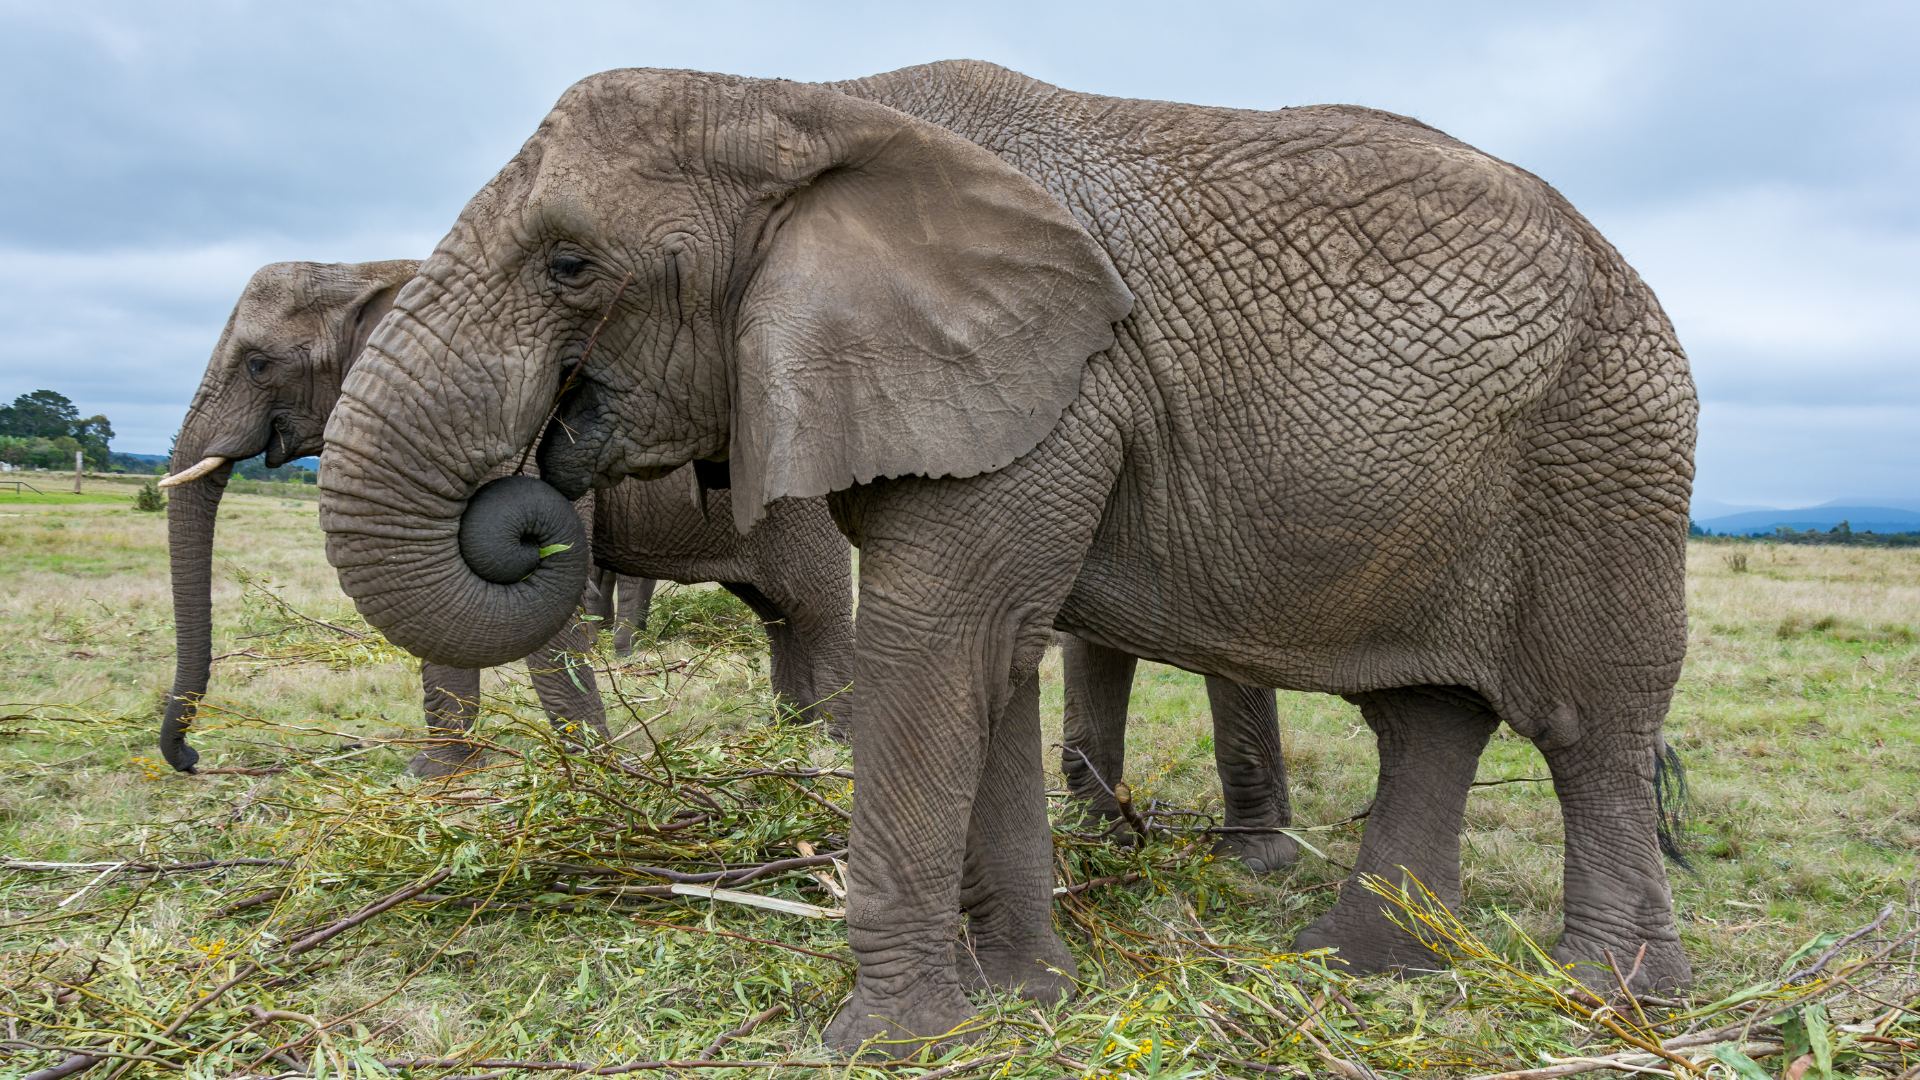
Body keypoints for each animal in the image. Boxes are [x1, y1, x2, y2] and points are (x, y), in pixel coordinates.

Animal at [314, 62, 1697, 1053]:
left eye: (569, 263)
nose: (539, 489)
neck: (803, 100)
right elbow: (992, 661)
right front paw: (1026, 999)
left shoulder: (1057, 390)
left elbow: (937, 649)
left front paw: (887, 1043)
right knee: (1426, 715)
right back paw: (1358, 962)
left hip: (1610, 450)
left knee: (1589, 724)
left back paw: (1613, 1002)